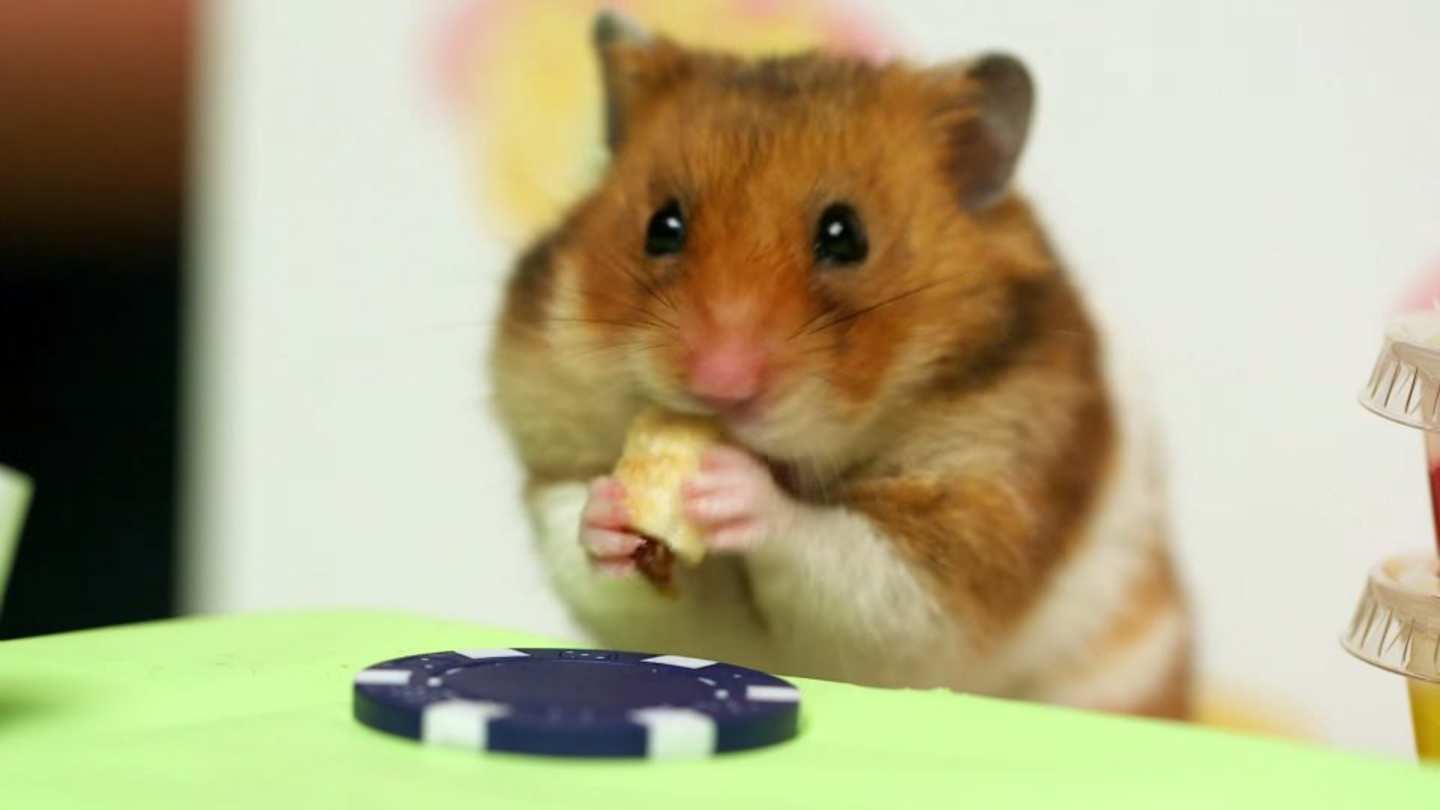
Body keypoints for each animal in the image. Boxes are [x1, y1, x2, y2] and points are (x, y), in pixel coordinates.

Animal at [489, 12, 1192, 720]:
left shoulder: (976, 518)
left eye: (845, 235)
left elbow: (842, 555)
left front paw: (729, 484)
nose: (718, 385)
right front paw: (610, 510)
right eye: (662, 226)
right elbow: (596, 548)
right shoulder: (562, 474)